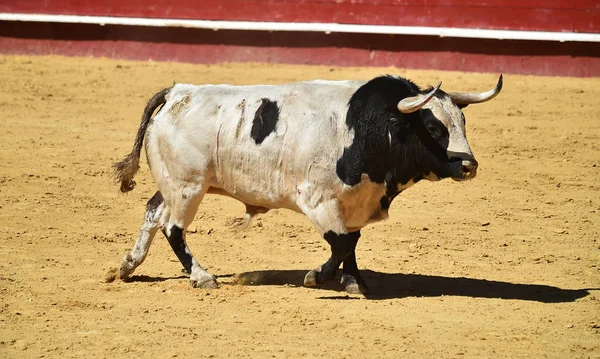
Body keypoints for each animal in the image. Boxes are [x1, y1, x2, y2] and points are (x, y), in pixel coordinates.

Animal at [111, 74, 502, 294]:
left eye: (462, 122)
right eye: (434, 127)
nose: (469, 165)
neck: (367, 126)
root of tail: (177, 92)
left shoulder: (355, 202)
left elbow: (352, 244)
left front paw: (354, 282)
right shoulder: (318, 200)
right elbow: (342, 243)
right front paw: (317, 277)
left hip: (174, 185)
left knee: (153, 210)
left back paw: (129, 265)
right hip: (189, 186)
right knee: (173, 228)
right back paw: (201, 276)